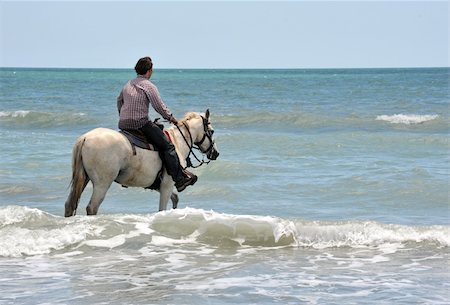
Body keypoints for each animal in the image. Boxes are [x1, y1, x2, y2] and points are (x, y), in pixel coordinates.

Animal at [64, 109, 219, 216]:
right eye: (211, 131)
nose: (215, 153)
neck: (178, 142)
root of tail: (85, 138)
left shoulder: (159, 185)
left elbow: (175, 198)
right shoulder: (167, 184)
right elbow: (162, 208)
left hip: (84, 178)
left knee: (69, 205)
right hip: (102, 184)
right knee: (92, 207)